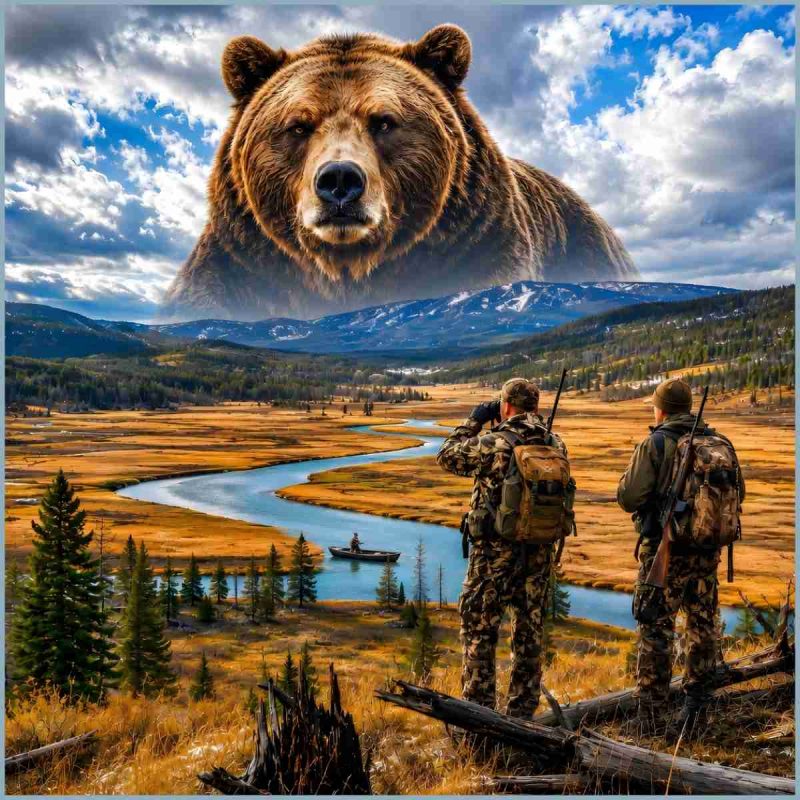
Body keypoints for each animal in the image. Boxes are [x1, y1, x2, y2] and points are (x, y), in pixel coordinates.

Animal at [163, 25, 638, 321]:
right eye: (298, 125)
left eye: (384, 121)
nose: (339, 181)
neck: (346, 272)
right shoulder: (241, 266)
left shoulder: (479, 247)